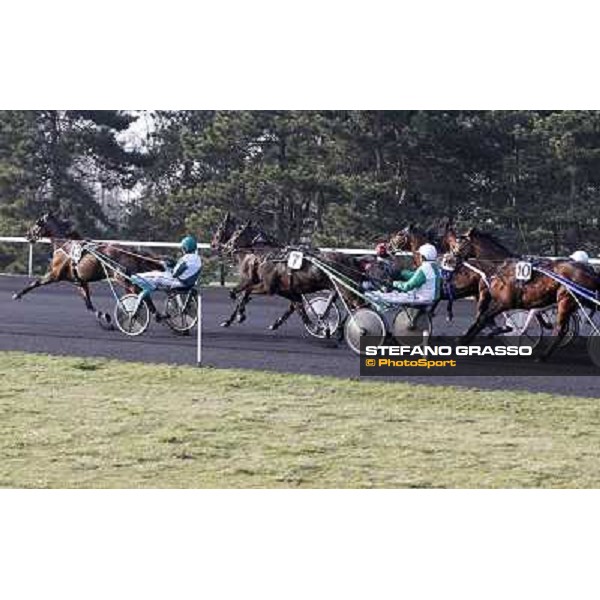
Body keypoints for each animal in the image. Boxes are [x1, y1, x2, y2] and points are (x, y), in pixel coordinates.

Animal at [13, 212, 166, 326]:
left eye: (37, 223)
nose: (27, 235)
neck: (65, 245)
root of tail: (130, 251)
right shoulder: (80, 281)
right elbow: (88, 304)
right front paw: (104, 315)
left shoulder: (54, 275)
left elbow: (35, 283)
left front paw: (17, 294)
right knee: (139, 292)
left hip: (122, 278)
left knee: (139, 291)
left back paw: (153, 314)